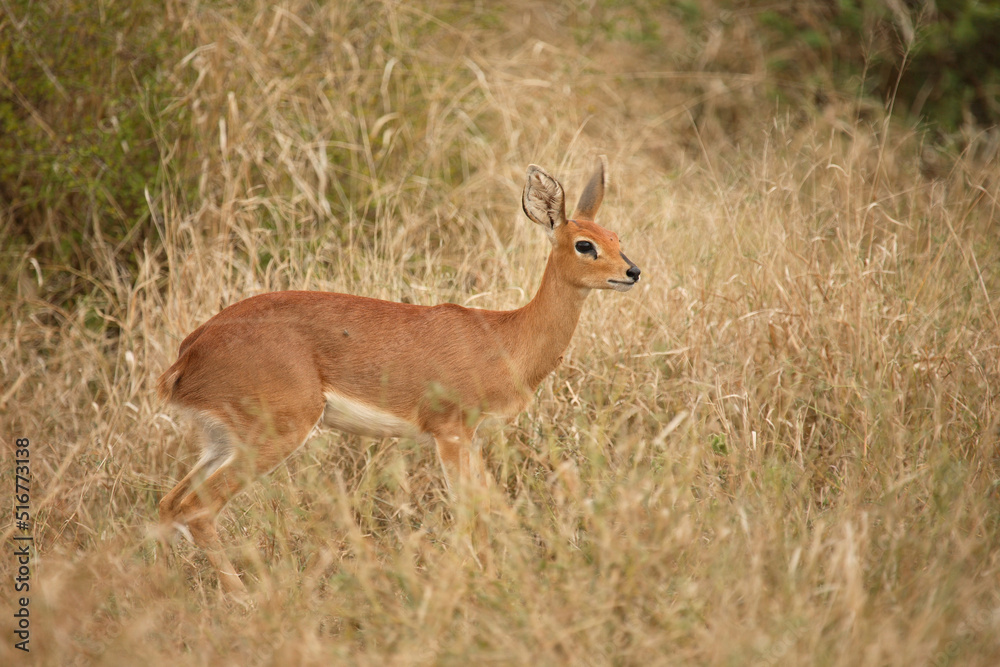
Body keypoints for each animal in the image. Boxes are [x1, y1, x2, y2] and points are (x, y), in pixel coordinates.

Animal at [156, 159, 640, 592]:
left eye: (615, 237)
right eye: (584, 244)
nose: (632, 271)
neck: (504, 337)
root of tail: (190, 351)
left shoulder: (473, 439)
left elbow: (489, 508)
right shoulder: (450, 433)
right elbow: (470, 513)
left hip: (222, 440)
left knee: (169, 504)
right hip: (276, 433)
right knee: (197, 508)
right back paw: (245, 600)